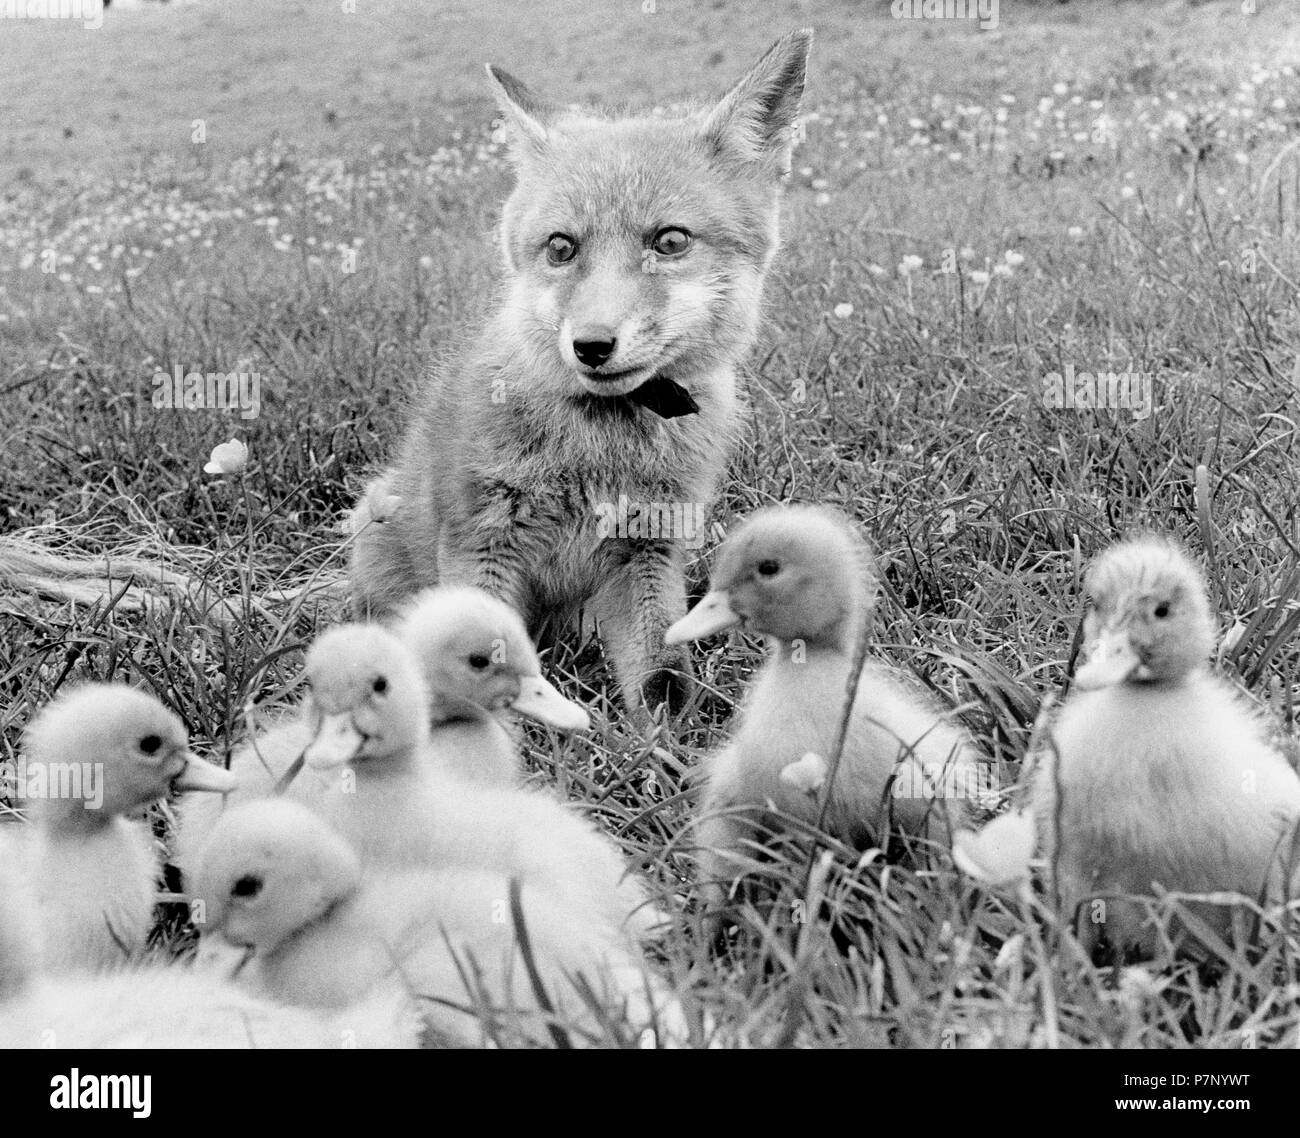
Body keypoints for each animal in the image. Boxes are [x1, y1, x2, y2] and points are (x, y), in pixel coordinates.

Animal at [348, 31, 811, 712]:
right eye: (561, 247)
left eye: (671, 241)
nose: (590, 345)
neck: (597, 447)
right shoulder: (481, 543)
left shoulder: (649, 553)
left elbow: (664, 684)